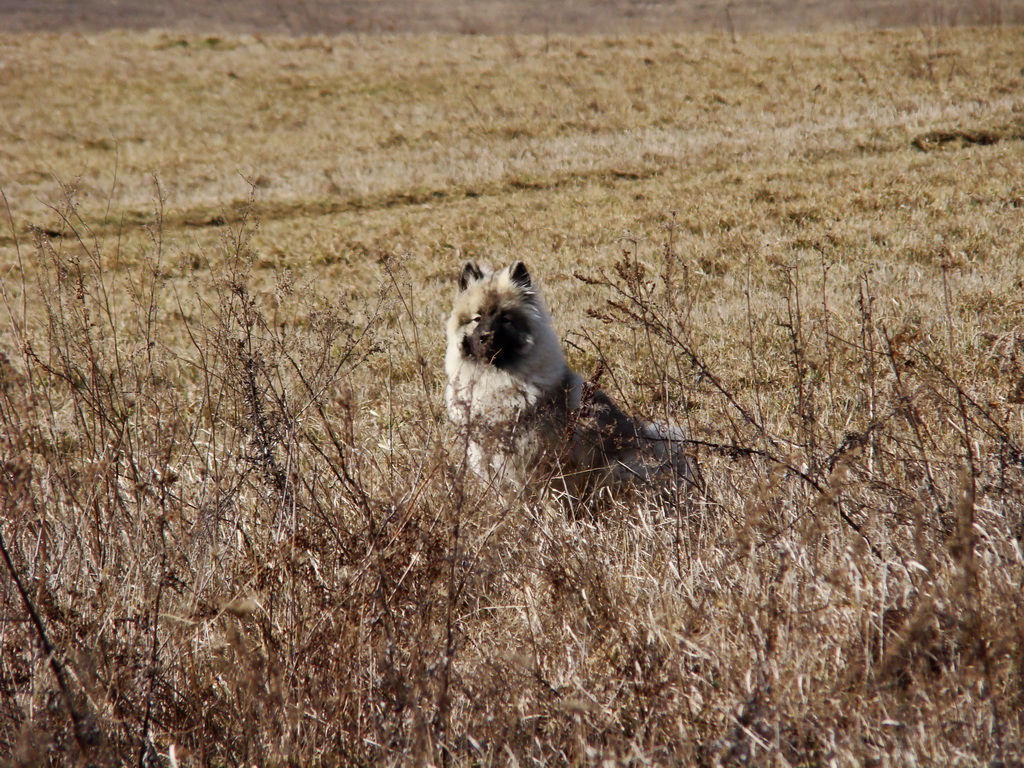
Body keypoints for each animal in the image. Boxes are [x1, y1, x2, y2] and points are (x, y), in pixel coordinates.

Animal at [444, 262, 700, 507]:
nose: (485, 337)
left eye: (505, 319)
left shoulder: (544, 462)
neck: (496, 379)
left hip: (620, 467)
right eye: (477, 318)